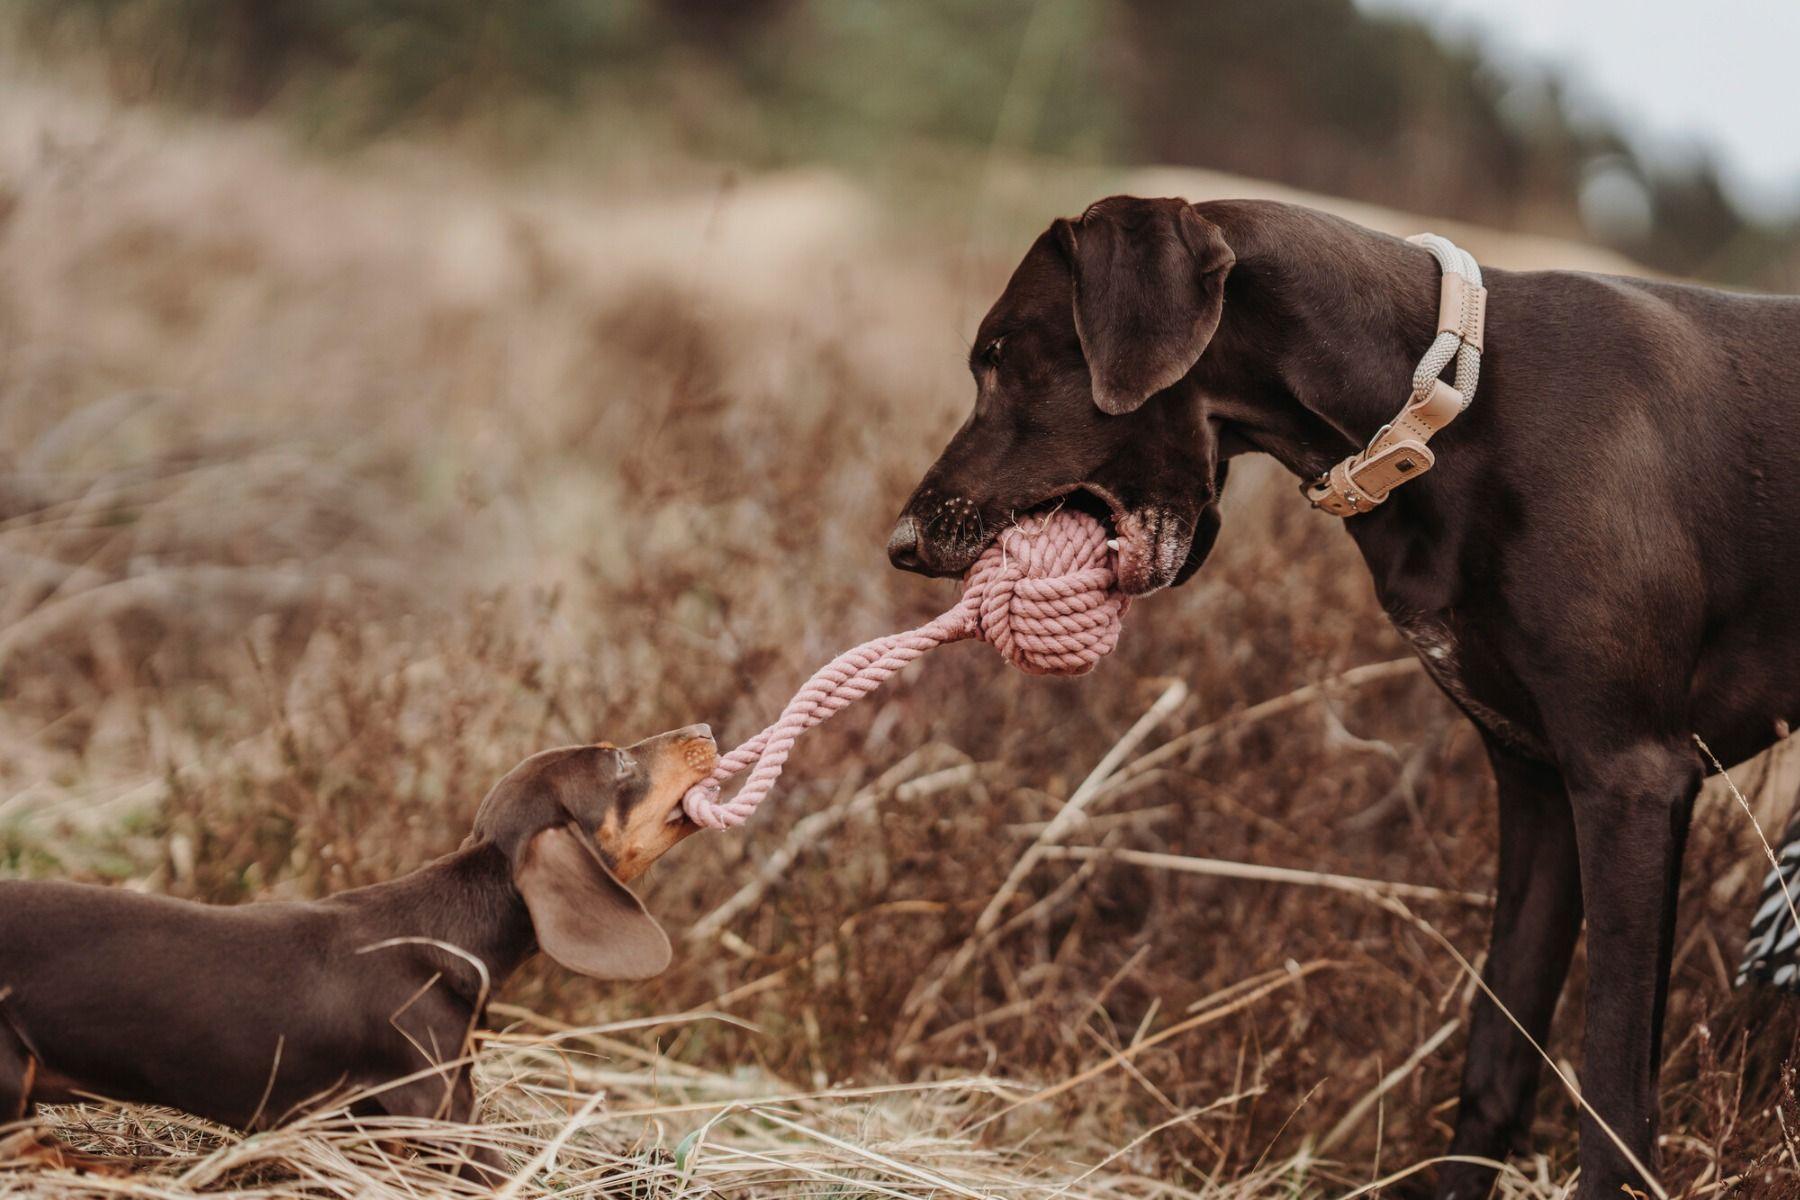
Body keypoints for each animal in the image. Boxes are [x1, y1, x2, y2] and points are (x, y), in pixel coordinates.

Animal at [885, 199, 1800, 1200]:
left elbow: (1614, 1104)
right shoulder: (1543, 791)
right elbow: (1495, 1063)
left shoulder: (1630, 781)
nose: (902, 542)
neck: (1447, 403)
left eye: (1002, 354)